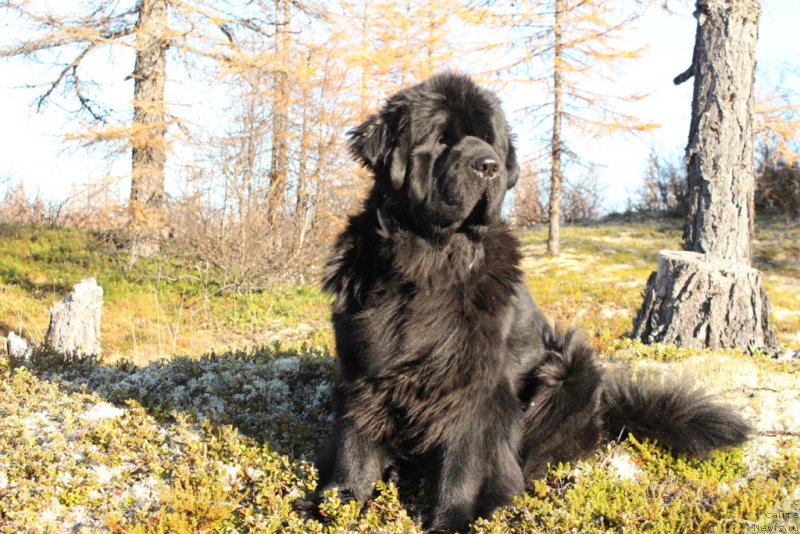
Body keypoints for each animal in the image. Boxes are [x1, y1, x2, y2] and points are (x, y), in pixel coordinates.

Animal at [314, 74, 752, 532]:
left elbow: (463, 460)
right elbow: (356, 439)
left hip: (569, 369)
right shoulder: (364, 365)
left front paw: (452, 519)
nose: (488, 165)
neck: (429, 260)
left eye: (490, 141)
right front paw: (339, 501)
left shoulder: (476, 386)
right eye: (440, 139)